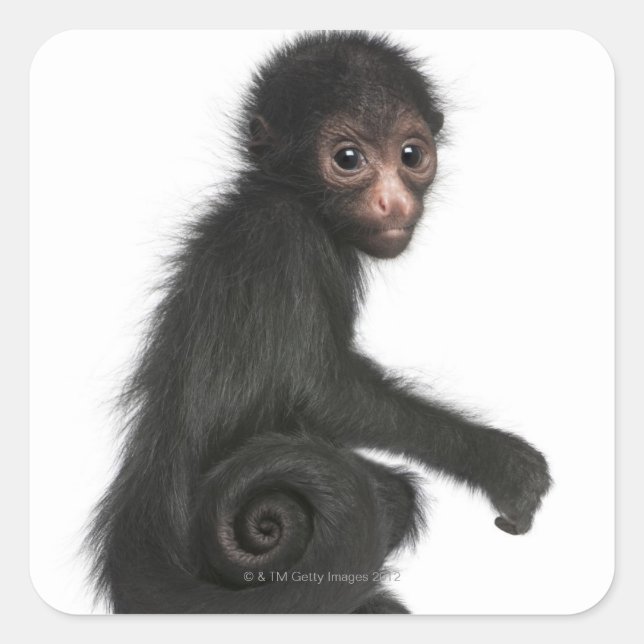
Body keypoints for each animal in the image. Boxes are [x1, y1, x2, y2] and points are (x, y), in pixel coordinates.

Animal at [85, 31, 552, 614]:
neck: (288, 195)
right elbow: (319, 391)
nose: (393, 200)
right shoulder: (285, 236)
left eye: (411, 155)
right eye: (348, 158)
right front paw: (501, 463)